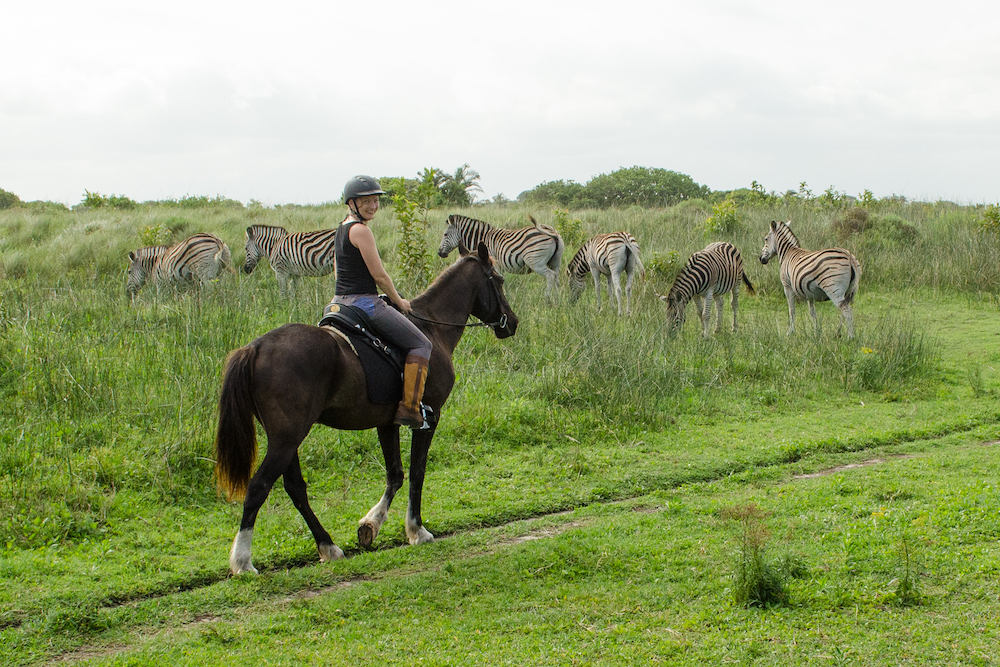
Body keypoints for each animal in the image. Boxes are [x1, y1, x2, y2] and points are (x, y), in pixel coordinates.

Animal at [216, 245, 520, 576]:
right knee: (258, 487)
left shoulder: (387, 423)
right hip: (287, 438)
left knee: (295, 488)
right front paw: (416, 529)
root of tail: (255, 347)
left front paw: (370, 525)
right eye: (499, 280)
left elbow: (395, 474)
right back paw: (243, 561)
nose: (512, 321)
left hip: (287, 439)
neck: (432, 326)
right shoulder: (430, 417)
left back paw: (328, 546)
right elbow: (417, 472)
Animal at [436, 214, 564, 298]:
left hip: (535, 262)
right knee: (556, 277)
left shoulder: (494, 265)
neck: (481, 239)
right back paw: (557, 298)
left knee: (550, 276)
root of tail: (553, 232)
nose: (439, 253)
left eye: (445, 234)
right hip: (555, 262)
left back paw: (546, 297)